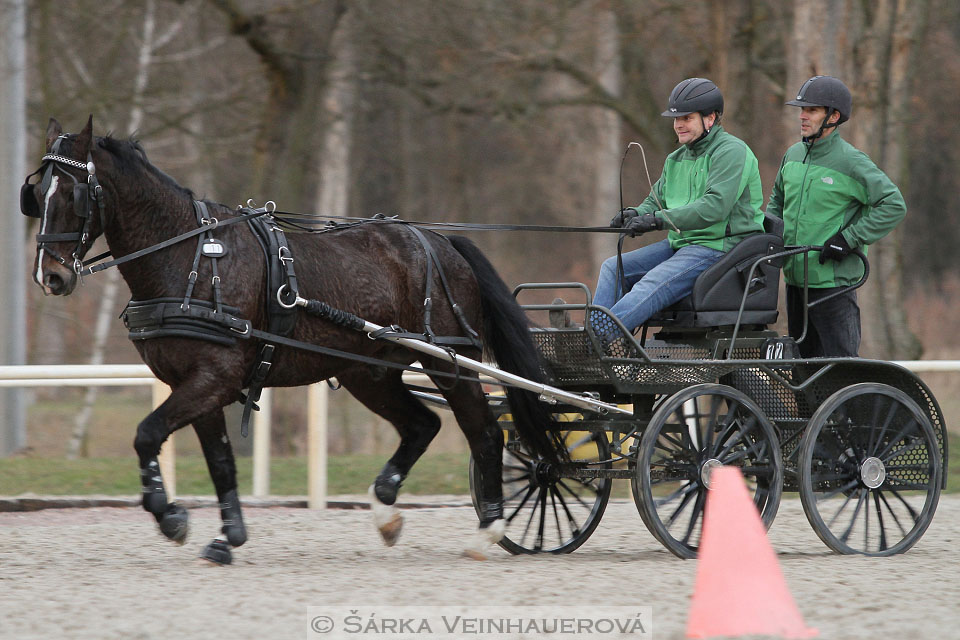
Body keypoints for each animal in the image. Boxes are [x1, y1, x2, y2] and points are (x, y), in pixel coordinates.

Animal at [22, 117, 556, 564]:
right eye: (37, 193)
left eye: (73, 193)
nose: (50, 276)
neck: (193, 258)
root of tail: (442, 243)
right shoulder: (196, 385)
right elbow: (220, 462)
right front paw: (228, 537)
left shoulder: (213, 378)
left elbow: (147, 434)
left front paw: (170, 515)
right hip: (367, 371)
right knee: (422, 425)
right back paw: (386, 512)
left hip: (452, 363)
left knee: (484, 433)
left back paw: (489, 531)